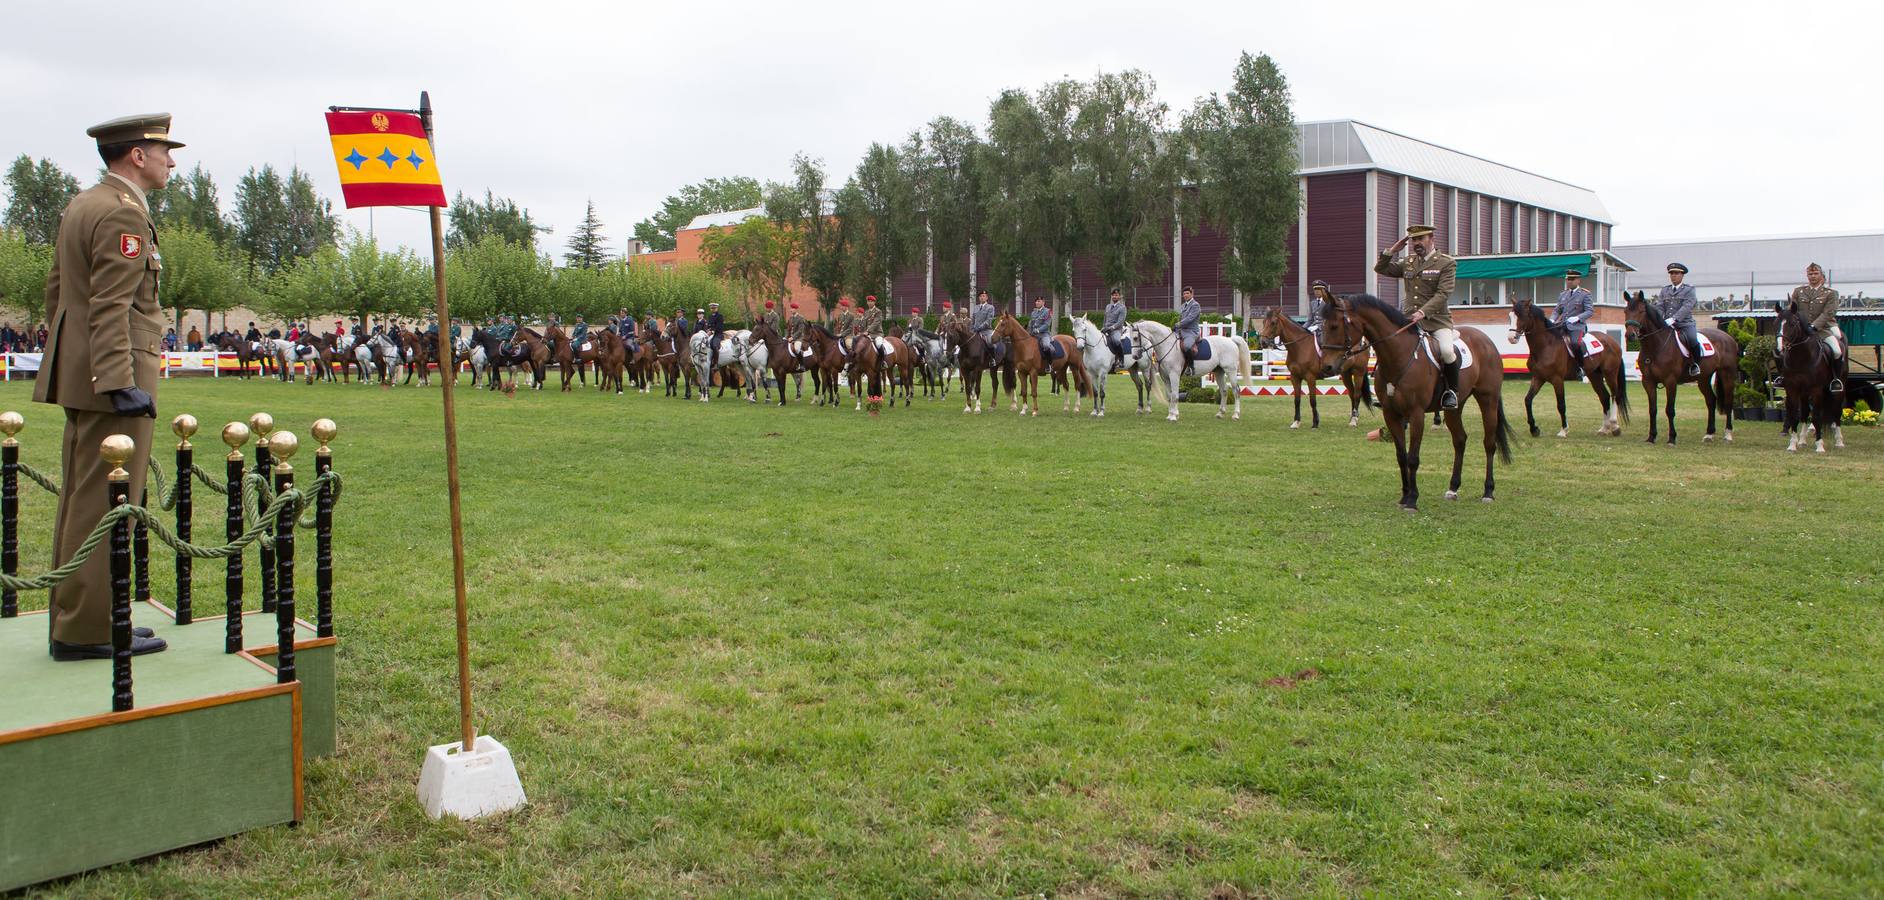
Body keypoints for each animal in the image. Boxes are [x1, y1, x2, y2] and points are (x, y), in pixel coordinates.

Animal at [1326, 293, 1514, 508]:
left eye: (1334, 326)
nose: (1328, 366)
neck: (1399, 355)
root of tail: (1486, 340)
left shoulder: (1416, 414)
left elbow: (1413, 457)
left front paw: (1412, 500)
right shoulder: (1391, 414)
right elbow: (1401, 456)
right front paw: (1404, 495)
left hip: (1488, 400)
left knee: (1489, 443)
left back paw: (1488, 491)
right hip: (1454, 407)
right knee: (1460, 440)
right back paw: (1453, 489)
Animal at [1499, 297, 1635, 436]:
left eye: (1523, 315)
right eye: (1510, 316)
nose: (1511, 338)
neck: (1546, 346)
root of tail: (1612, 341)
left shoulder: (1557, 379)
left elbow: (1561, 404)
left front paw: (1563, 430)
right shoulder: (1538, 378)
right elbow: (1528, 400)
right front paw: (1534, 429)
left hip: (1610, 374)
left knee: (1615, 395)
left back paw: (1614, 426)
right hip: (1594, 376)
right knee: (1604, 397)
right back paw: (1604, 428)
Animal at [1620, 291, 1733, 446]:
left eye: (1641, 311)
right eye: (1625, 311)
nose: (1630, 335)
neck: (1656, 346)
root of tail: (1728, 337)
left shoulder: (1670, 381)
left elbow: (1669, 410)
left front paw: (1672, 438)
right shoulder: (1648, 382)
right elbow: (1652, 409)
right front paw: (1651, 437)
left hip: (1727, 375)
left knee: (1728, 402)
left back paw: (1728, 434)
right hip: (1703, 378)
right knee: (1711, 401)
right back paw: (1709, 434)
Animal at [1770, 301, 1846, 453]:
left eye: (1792, 324)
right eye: (1776, 323)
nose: (1779, 350)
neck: (1801, 358)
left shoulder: (1816, 390)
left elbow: (1816, 417)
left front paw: (1820, 446)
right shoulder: (1792, 389)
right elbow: (1795, 416)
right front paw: (1792, 445)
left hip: (1838, 391)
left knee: (1836, 413)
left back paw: (1839, 442)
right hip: (1804, 393)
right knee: (1805, 412)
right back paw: (1802, 440)